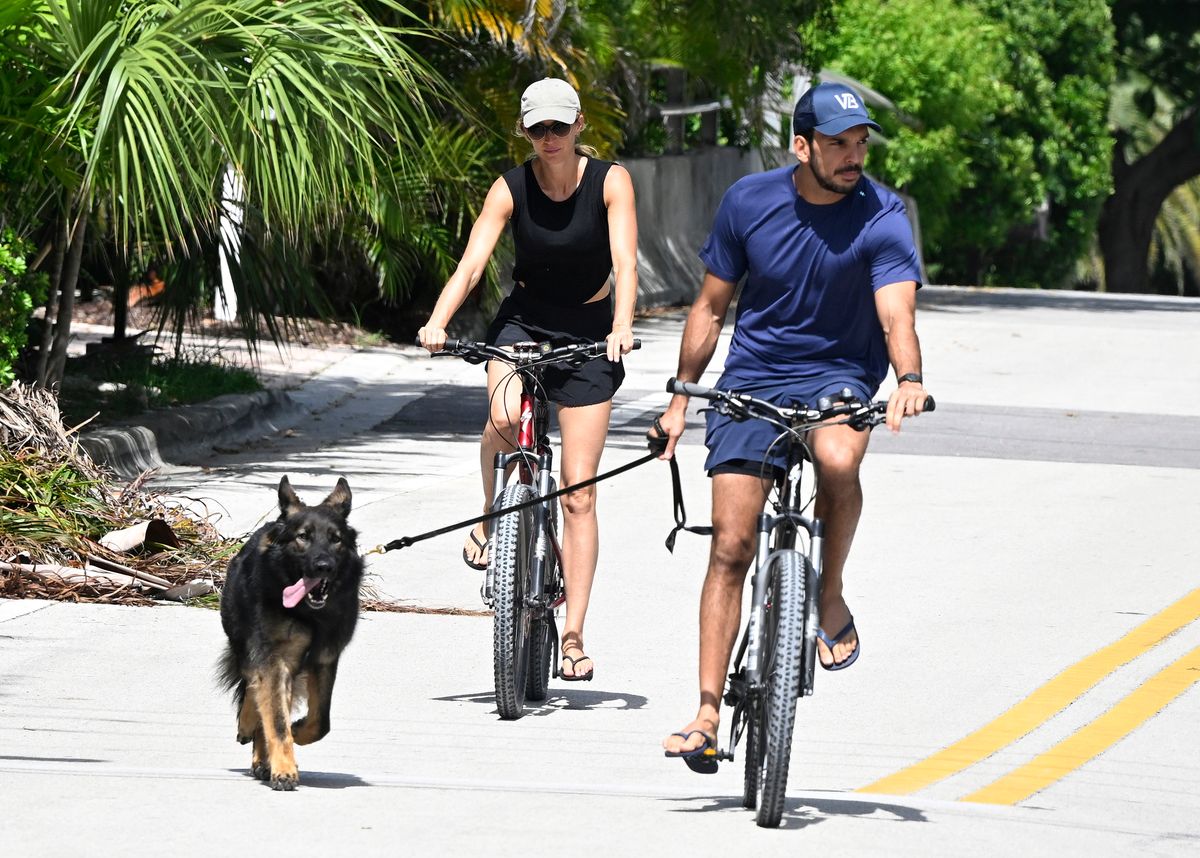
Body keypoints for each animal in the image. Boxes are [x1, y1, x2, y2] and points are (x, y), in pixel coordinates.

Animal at [219, 477, 360, 792]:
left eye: (336, 539)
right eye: (303, 536)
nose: (324, 566)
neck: (309, 614)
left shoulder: (324, 659)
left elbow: (320, 722)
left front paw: (297, 734)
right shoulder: (275, 660)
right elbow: (277, 721)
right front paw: (284, 769)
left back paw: (263, 758)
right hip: (246, 645)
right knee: (252, 687)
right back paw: (249, 729)